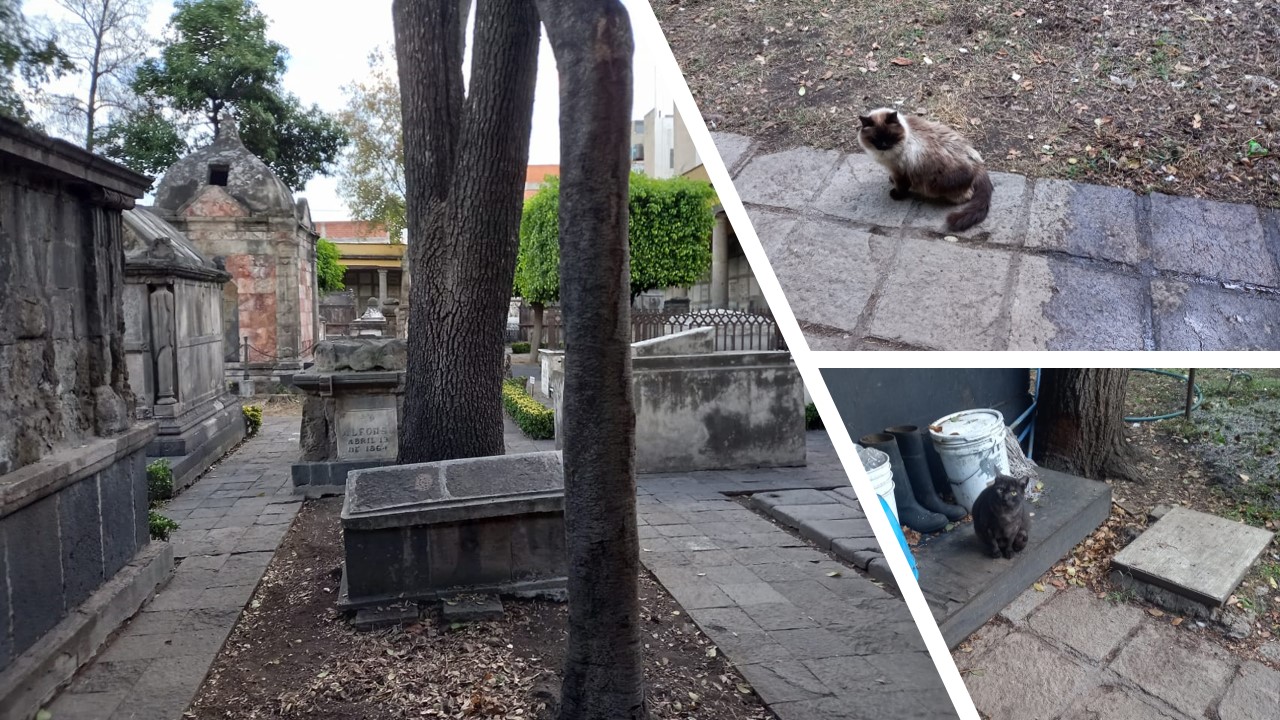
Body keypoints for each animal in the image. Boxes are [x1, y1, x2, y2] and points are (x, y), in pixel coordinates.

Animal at [855, 106, 993, 229]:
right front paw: (890, 180)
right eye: (875, 139)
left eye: (890, 137)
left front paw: (896, 195)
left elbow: (901, 187)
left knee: (966, 196)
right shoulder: (894, 170)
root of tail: (976, 165)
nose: (883, 145)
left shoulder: (900, 171)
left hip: (938, 184)